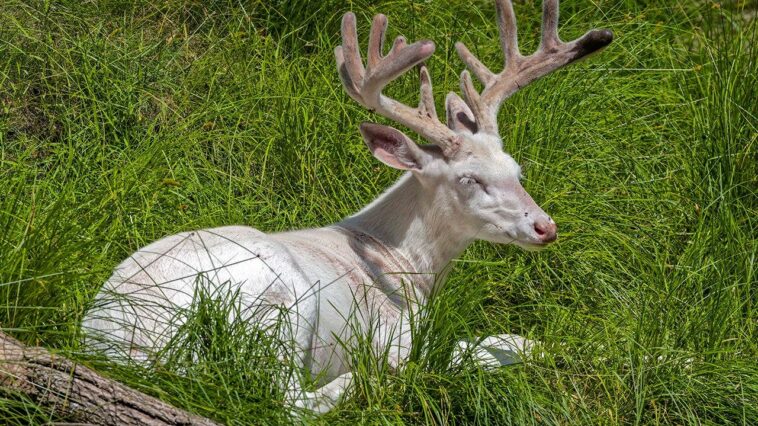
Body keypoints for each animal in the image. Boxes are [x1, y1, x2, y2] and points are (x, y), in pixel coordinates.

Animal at [81, 0, 612, 414]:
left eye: (516, 169)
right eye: (470, 179)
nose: (545, 227)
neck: (409, 264)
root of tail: (120, 345)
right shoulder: (397, 331)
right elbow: (488, 345)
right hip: (275, 304)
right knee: (285, 399)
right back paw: (368, 379)